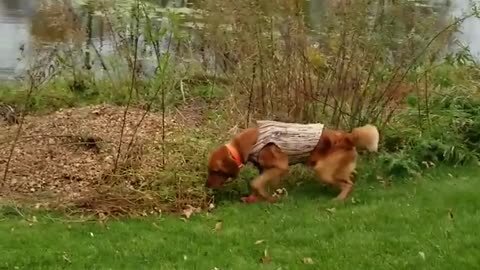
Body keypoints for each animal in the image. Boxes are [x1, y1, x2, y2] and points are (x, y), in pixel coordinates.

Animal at [206, 120, 378, 202]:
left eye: (215, 171)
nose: (206, 186)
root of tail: (347, 137)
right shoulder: (266, 169)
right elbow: (257, 185)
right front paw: (256, 199)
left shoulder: (280, 167)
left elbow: (255, 183)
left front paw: (268, 198)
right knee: (349, 181)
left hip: (323, 171)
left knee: (348, 184)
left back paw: (338, 200)